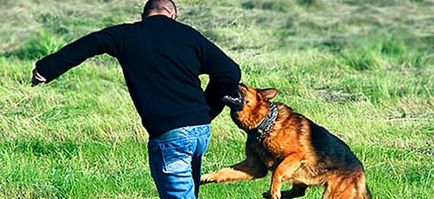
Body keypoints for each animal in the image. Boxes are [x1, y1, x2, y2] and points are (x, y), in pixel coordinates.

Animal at [200, 83, 370, 198]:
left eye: (242, 86)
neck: (266, 124)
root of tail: (360, 171)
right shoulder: (254, 167)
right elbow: (225, 171)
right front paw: (207, 177)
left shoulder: (296, 155)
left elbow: (278, 171)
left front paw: (274, 190)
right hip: (304, 178)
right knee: (299, 192)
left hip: (331, 193)